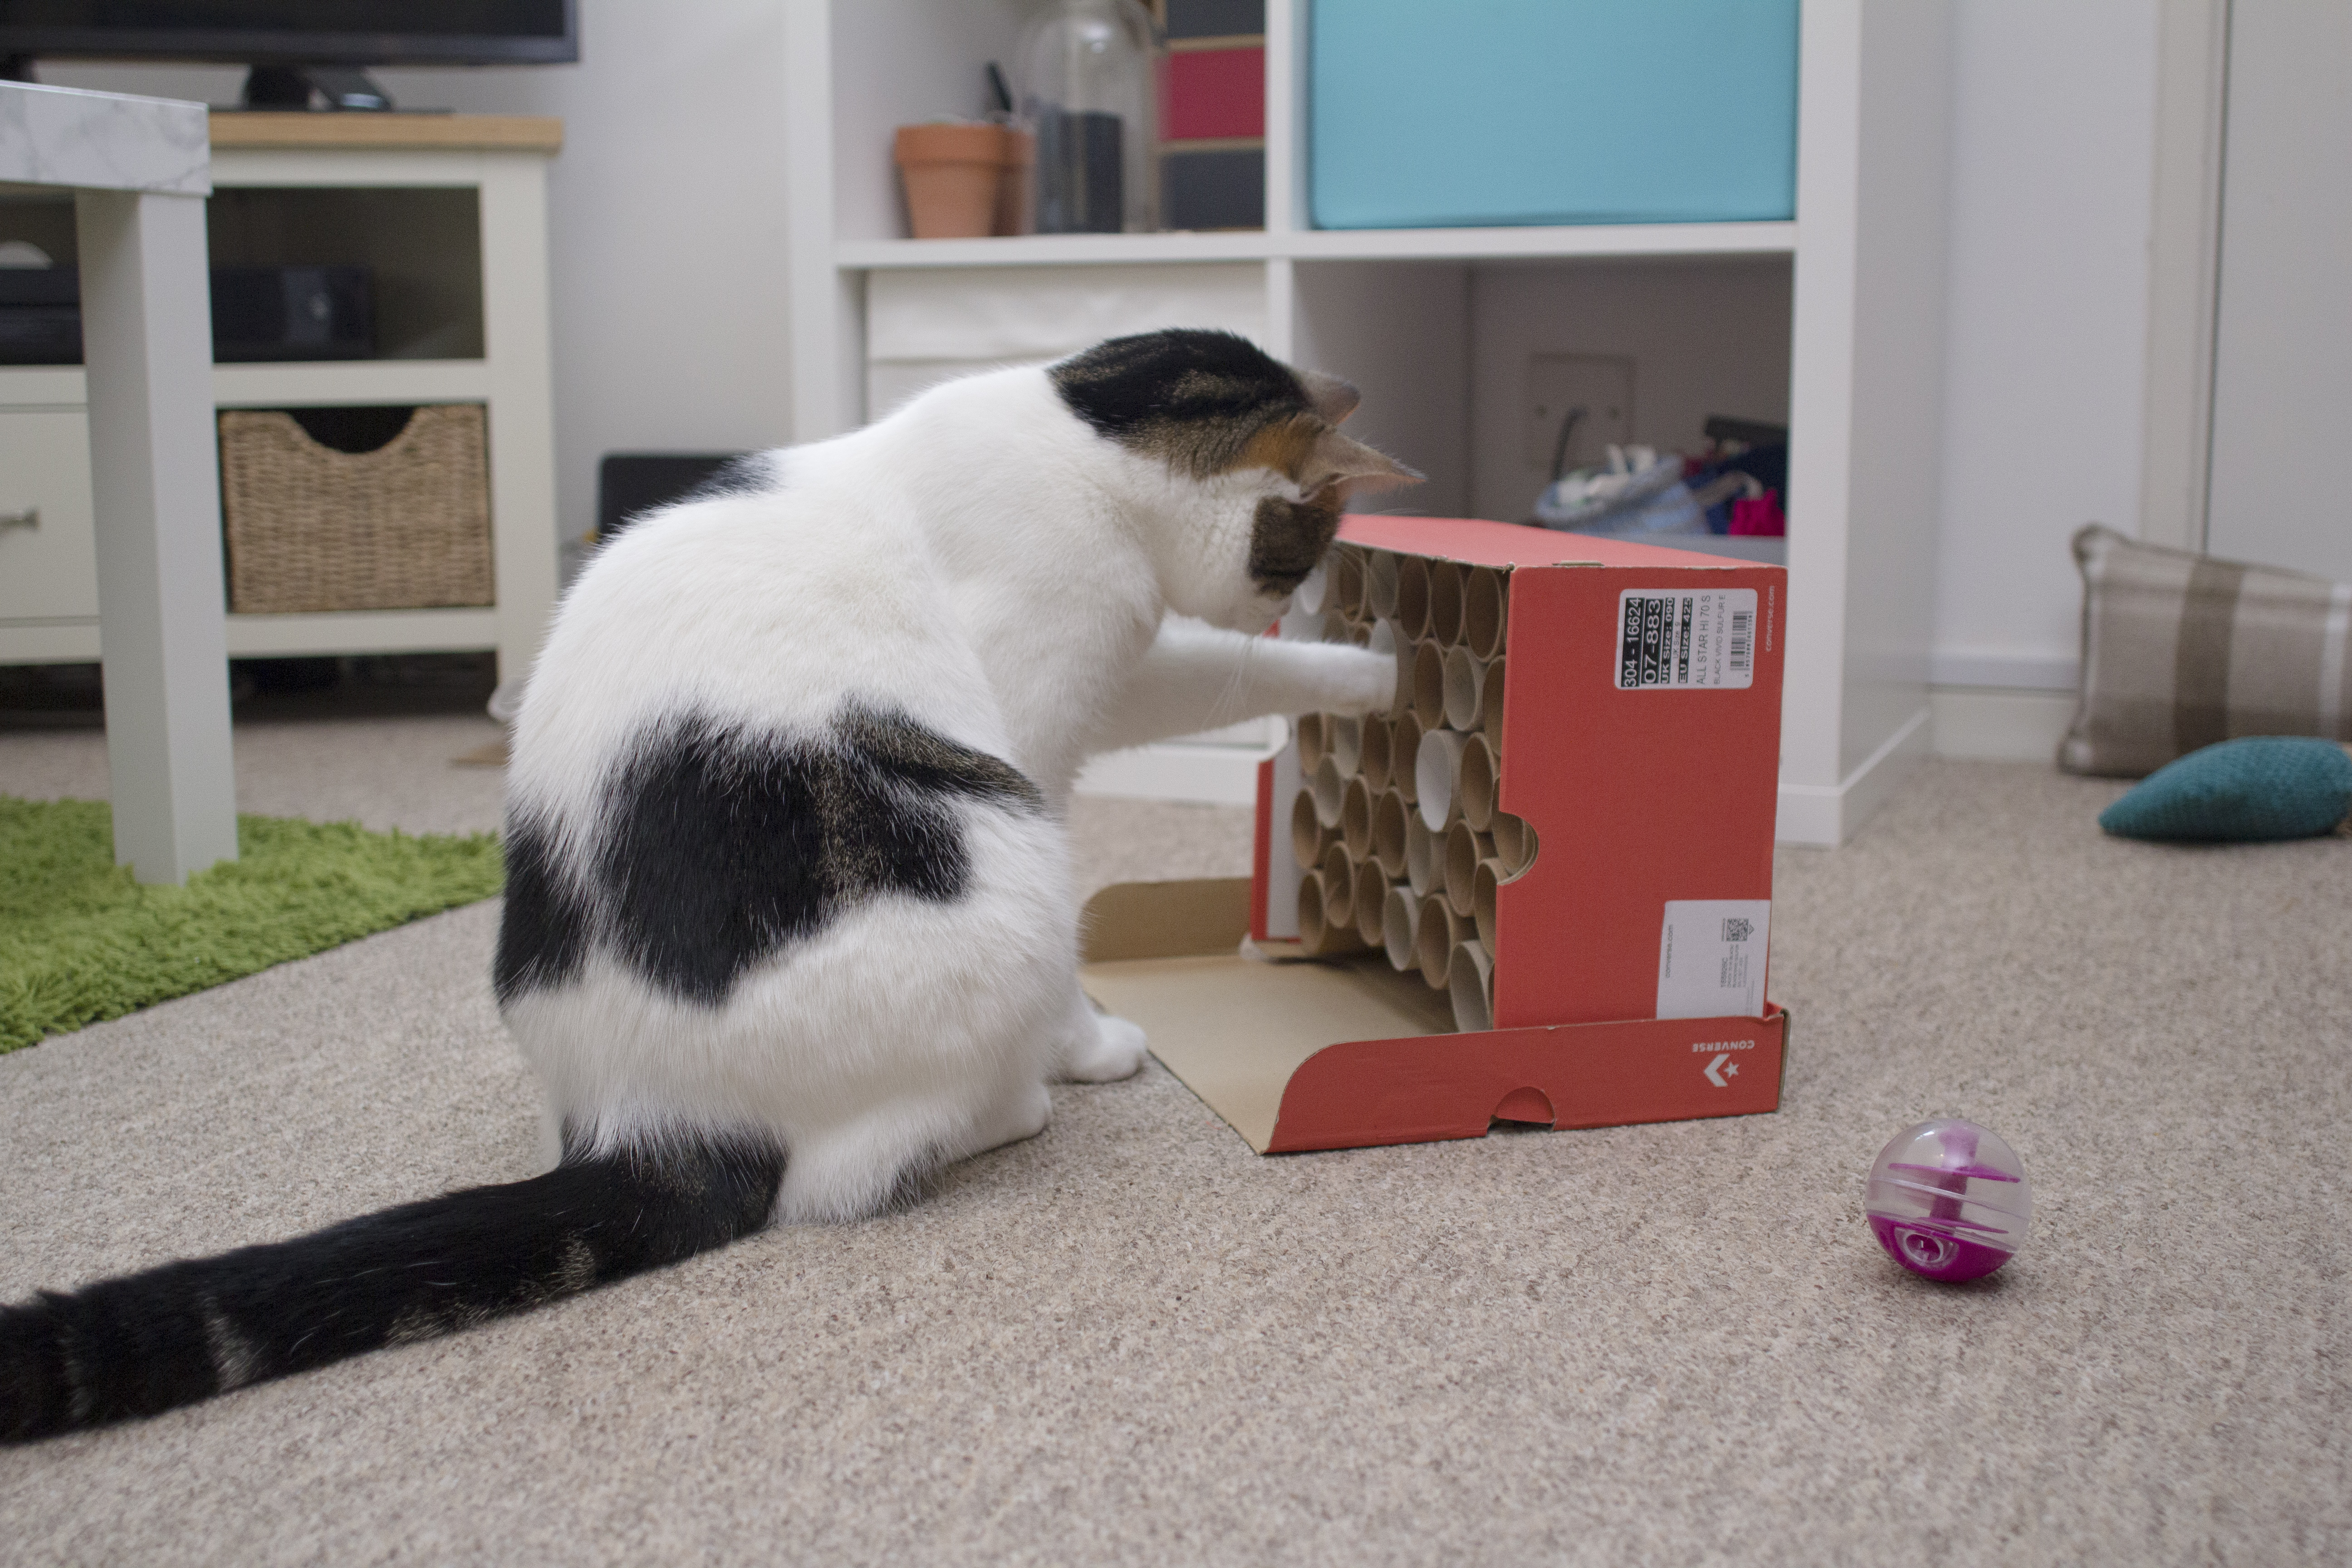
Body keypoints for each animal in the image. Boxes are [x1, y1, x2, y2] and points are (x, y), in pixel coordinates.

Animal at [0, 324, 1411, 1439]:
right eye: (1305, 540)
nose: (1300, 591)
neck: (1079, 428)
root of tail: (642, 1113)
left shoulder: (1123, 662)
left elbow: (1216, 673)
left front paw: (1375, 675)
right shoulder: (1037, 714)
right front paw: (1094, 1040)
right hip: (997, 847)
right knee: (840, 1179)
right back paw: (1019, 1099)